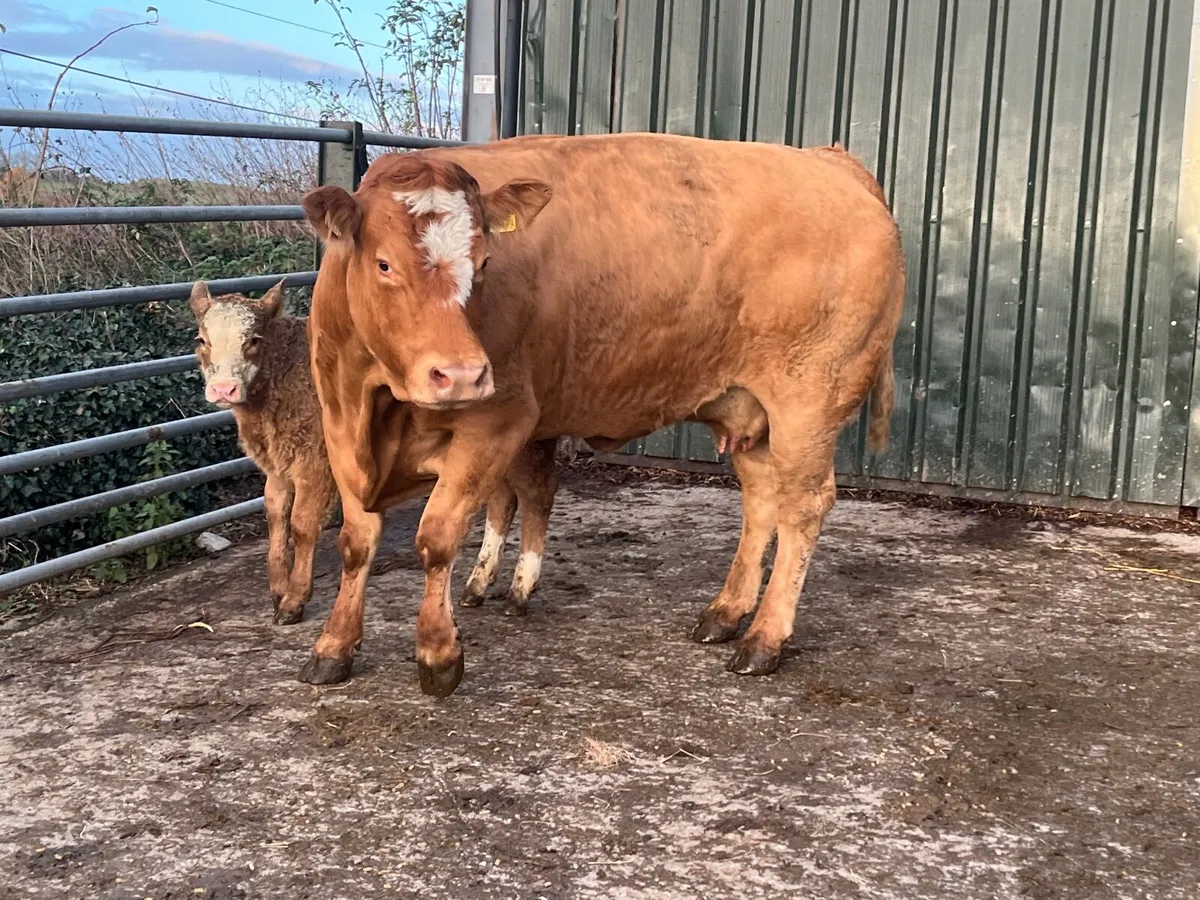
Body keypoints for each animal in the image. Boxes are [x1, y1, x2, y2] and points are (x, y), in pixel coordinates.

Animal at [189, 281, 561, 626]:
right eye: (202, 341)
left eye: (253, 340)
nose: (224, 389)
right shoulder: (278, 468)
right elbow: (275, 518)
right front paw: (279, 590)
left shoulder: (315, 464)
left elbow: (302, 525)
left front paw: (294, 600)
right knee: (502, 499)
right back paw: (478, 586)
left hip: (522, 441)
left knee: (536, 494)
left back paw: (519, 591)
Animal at [300, 132, 904, 697]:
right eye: (384, 263)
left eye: (486, 262)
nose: (464, 374)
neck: (377, 402)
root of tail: (830, 160)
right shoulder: (339, 417)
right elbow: (356, 542)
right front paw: (333, 646)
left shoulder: (499, 420)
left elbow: (438, 537)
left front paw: (438, 655)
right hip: (747, 410)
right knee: (761, 501)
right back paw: (725, 613)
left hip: (808, 404)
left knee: (802, 507)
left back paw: (764, 639)